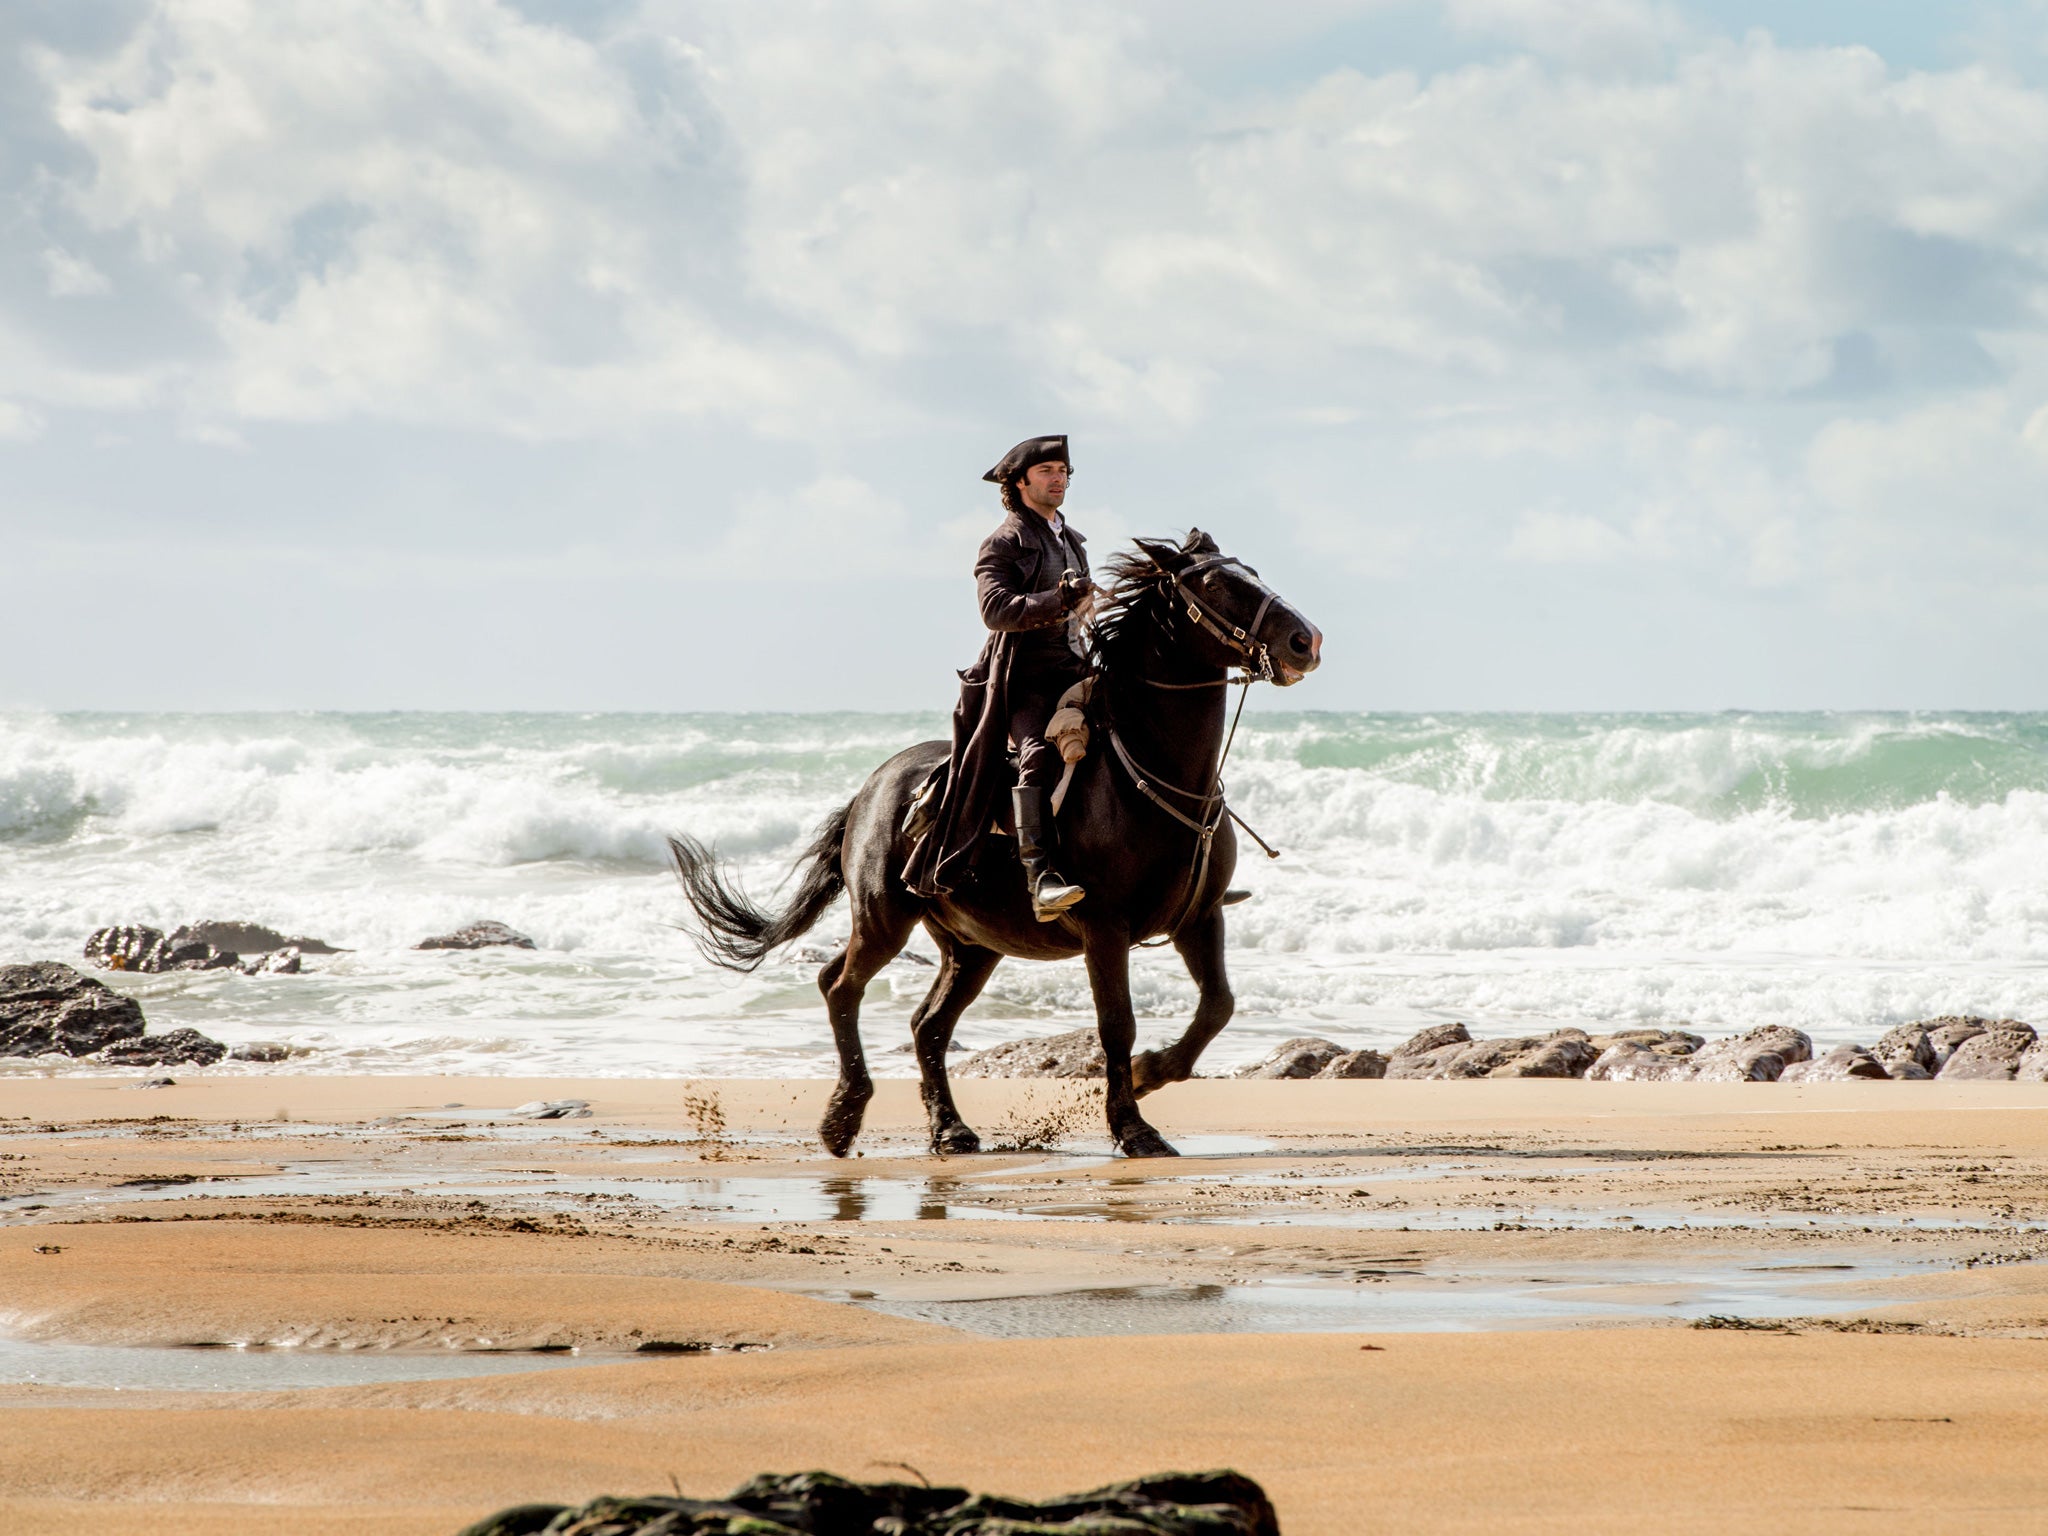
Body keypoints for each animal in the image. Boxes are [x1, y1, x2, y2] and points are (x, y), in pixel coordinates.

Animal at [663, 536, 1318, 1163]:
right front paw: (1134, 1127)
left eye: (1251, 572)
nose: (1304, 640)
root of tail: (870, 789)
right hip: (884, 918)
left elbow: (1218, 1007)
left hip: (972, 946)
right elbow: (1117, 1025)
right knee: (840, 987)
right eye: (1215, 584)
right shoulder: (1105, 928)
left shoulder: (1199, 919)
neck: (1150, 772)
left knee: (926, 1025)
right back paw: (843, 1117)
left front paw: (1151, 1072)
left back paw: (949, 1129)